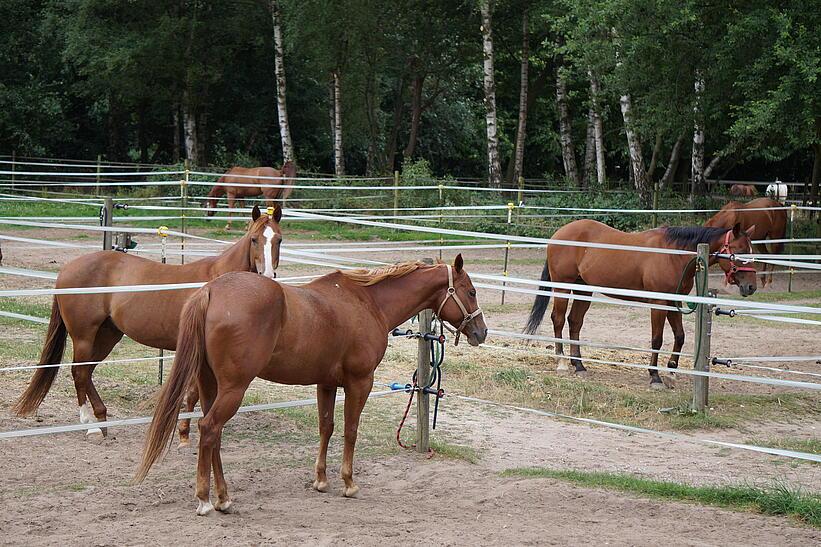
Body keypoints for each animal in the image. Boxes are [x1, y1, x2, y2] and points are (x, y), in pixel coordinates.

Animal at [10, 204, 282, 440]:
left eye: (278, 239)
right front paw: (184, 431)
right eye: (254, 239)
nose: (267, 275)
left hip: (107, 335)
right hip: (84, 335)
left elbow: (195, 393)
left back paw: (102, 419)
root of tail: (66, 269)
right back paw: (91, 426)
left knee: (87, 373)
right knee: (79, 372)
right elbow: (194, 392)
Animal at [131, 258, 484, 520]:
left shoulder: (325, 383)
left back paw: (224, 497)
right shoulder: (360, 382)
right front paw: (348, 482)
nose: (481, 332)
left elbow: (326, 427)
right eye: (470, 291)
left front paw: (321, 480)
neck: (366, 303)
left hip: (209, 385)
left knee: (212, 435)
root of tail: (211, 291)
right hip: (233, 389)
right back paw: (205, 499)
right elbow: (350, 430)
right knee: (209, 428)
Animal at [524, 219, 756, 390]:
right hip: (562, 287)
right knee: (559, 320)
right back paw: (562, 362)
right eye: (738, 252)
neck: (674, 255)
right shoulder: (659, 303)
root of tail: (559, 234)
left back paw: (579, 364)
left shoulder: (673, 302)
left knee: (575, 322)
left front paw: (671, 373)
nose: (751, 286)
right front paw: (655, 376)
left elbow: (680, 336)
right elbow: (657, 339)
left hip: (584, 289)